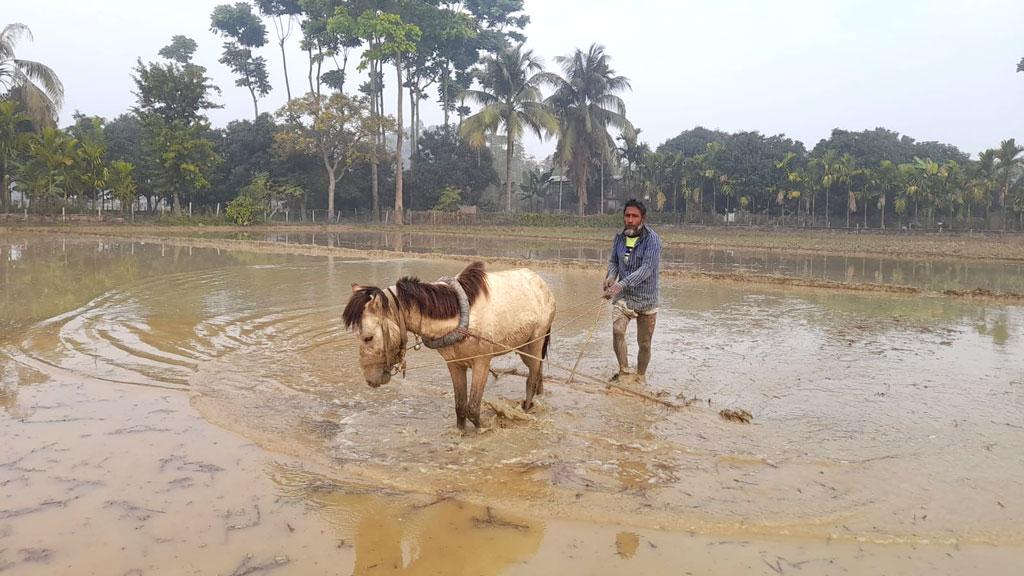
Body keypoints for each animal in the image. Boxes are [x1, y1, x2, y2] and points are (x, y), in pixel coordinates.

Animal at [344, 260, 557, 426]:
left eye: (368, 337)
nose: (370, 379)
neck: (458, 316)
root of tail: (542, 284)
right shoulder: (455, 364)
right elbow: (460, 408)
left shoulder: (482, 363)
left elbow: (473, 409)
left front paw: (484, 430)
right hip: (523, 346)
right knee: (537, 371)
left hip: (537, 341)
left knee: (531, 379)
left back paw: (527, 408)